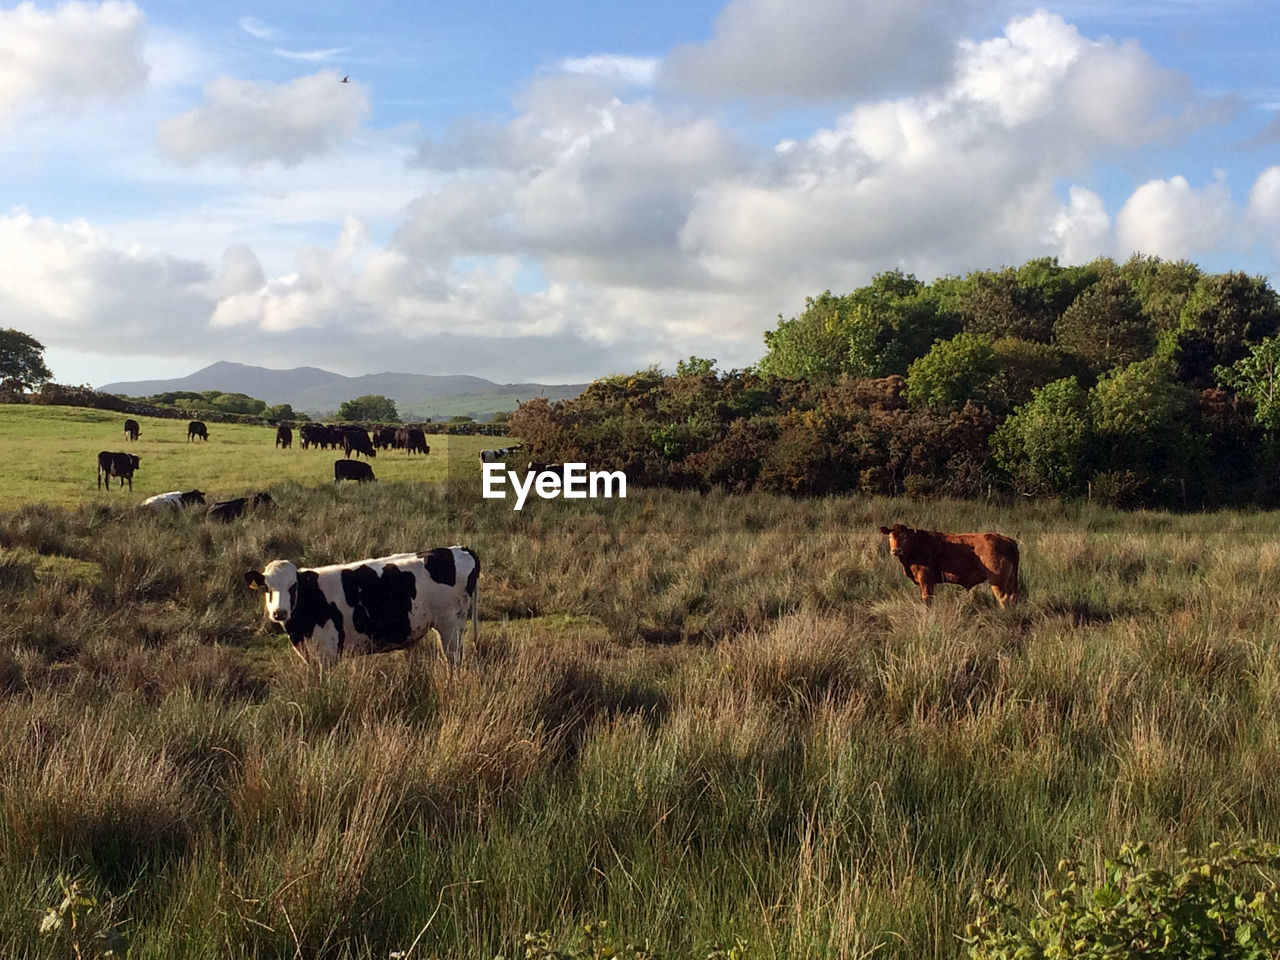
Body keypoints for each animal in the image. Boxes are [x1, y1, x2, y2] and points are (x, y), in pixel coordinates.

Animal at [240, 547, 481, 670]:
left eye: (293, 586)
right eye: (267, 588)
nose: (279, 612)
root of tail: (458, 549)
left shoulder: (327, 654)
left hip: (451, 626)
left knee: (453, 661)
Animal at [880, 527, 1018, 609]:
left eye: (905, 537)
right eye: (890, 536)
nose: (896, 550)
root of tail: (1007, 540)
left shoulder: (925, 579)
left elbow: (927, 599)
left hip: (997, 582)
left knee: (1003, 599)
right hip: (1010, 582)